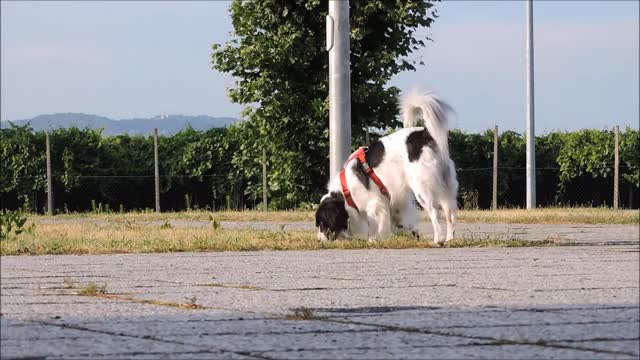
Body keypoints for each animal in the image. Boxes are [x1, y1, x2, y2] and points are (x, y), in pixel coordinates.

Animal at [314, 88, 456, 243]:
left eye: (322, 223)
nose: (319, 240)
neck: (346, 191)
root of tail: (424, 134)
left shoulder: (375, 204)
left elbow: (374, 226)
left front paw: (372, 240)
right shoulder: (396, 202)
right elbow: (400, 225)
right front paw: (412, 234)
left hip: (422, 188)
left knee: (435, 212)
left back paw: (438, 239)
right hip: (446, 187)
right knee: (449, 213)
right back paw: (450, 239)